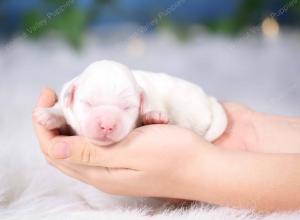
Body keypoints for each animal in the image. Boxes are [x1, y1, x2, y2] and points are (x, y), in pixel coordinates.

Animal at [34, 60, 227, 146]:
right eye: (88, 103)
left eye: (127, 107)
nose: (107, 125)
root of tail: (209, 99)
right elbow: (62, 111)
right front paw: (48, 115)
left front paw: (153, 117)